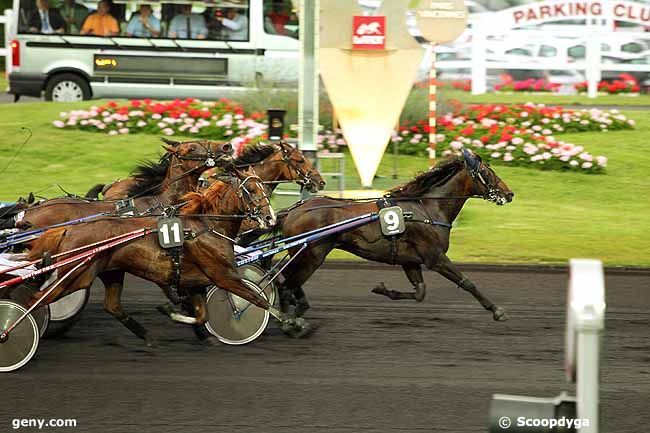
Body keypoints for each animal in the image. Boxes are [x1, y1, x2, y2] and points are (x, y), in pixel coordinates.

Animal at [20, 174, 304, 346]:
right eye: (252, 189)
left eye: (266, 189)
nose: (270, 219)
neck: (206, 226)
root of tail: (68, 229)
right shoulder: (223, 275)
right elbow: (257, 299)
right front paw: (294, 322)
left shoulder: (195, 282)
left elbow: (201, 315)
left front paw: (172, 313)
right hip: (77, 275)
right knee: (38, 299)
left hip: (110, 271)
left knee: (112, 306)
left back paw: (147, 336)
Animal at [268, 148, 512, 320]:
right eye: (487, 172)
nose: (509, 194)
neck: (427, 208)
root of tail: (292, 210)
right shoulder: (435, 257)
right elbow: (467, 282)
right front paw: (497, 310)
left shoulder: (410, 260)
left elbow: (420, 292)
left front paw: (382, 289)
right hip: (310, 256)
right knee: (284, 284)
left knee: (285, 283)